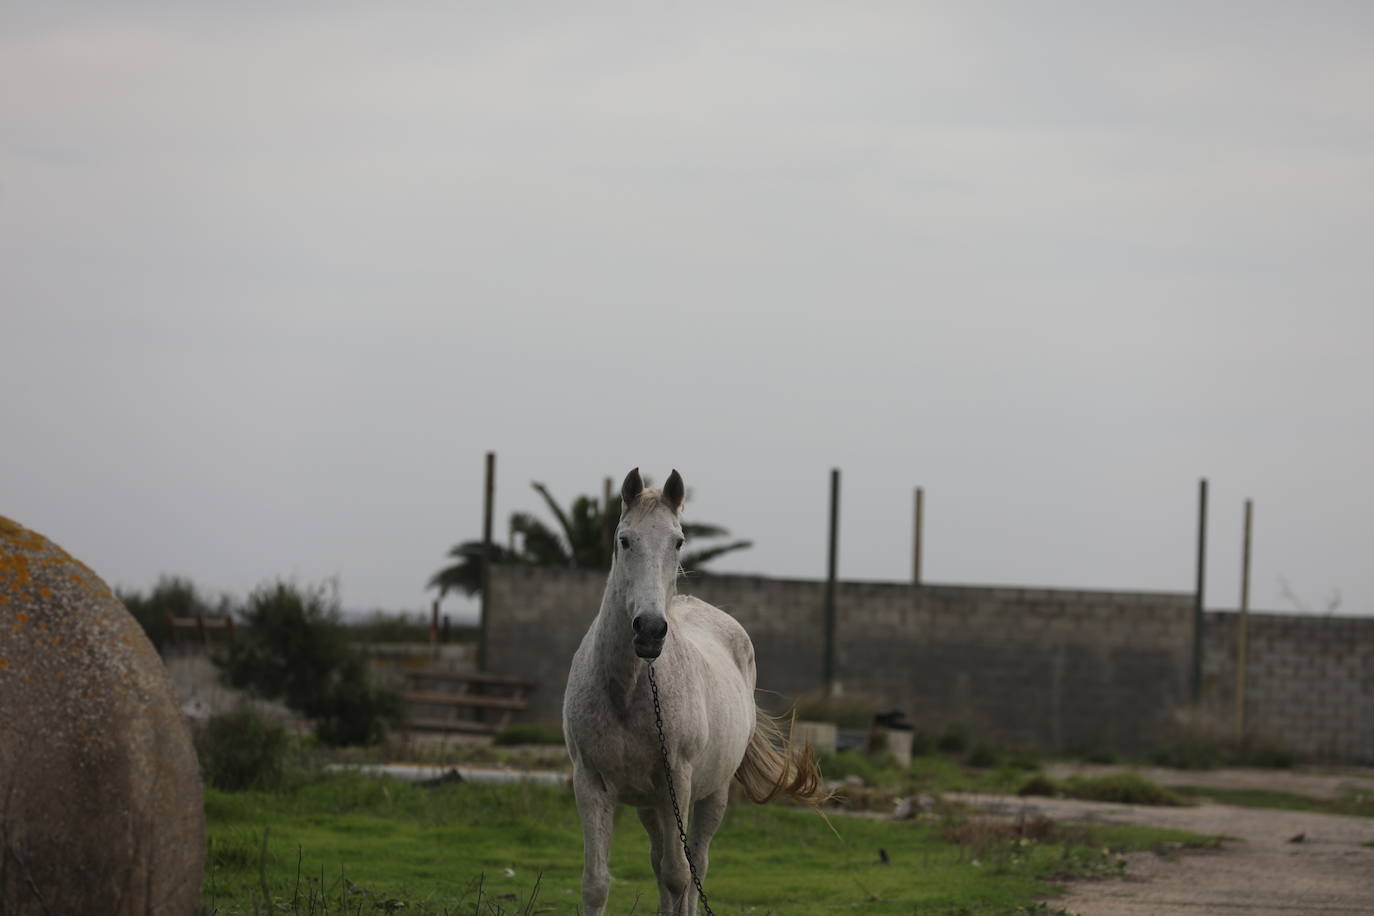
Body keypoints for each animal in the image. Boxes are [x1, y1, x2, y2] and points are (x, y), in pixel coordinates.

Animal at [563, 469, 818, 916]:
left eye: (678, 540)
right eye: (624, 539)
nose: (649, 629)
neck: (627, 691)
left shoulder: (677, 783)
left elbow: (679, 876)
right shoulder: (590, 783)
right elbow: (597, 883)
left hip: (710, 795)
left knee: (694, 863)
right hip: (651, 805)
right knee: (661, 861)